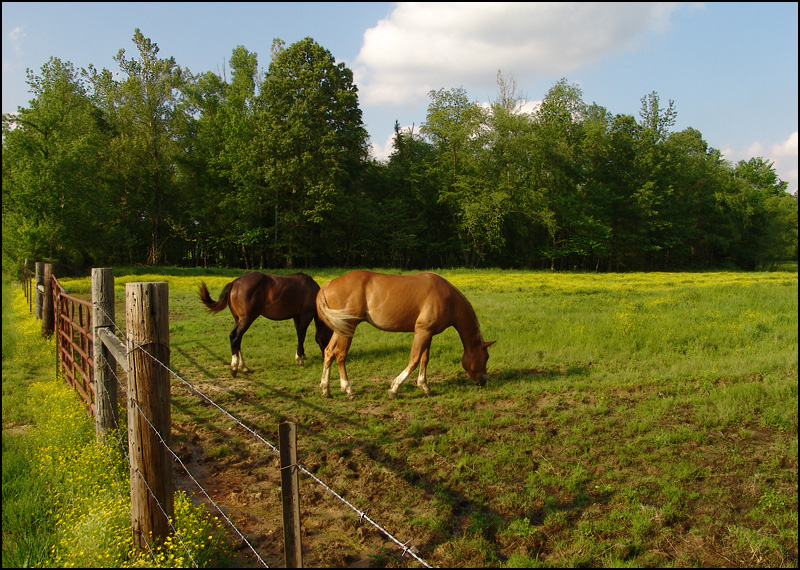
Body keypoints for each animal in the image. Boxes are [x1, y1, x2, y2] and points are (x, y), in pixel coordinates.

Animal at [198, 272, 332, 374]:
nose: (325, 356)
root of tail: (234, 283)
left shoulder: (296, 317)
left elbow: (299, 335)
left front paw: (302, 354)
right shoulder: (306, 315)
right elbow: (301, 335)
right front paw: (299, 359)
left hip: (238, 319)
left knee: (238, 339)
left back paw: (243, 366)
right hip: (247, 318)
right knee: (235, 336)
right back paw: (235, 367)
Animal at [314, 270, 494, 394]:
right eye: (486, 357)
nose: (483, 381)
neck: (448, 299)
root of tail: (330, 284)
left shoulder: (428, 333)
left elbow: (424, 359)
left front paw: (424, 386)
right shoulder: (422, 331)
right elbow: (414, 360)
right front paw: (395, 388)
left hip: (340, 328)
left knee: (329, 352)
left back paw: (325, 389)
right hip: (348, 328)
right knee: (340, 355)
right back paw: (348, 389)